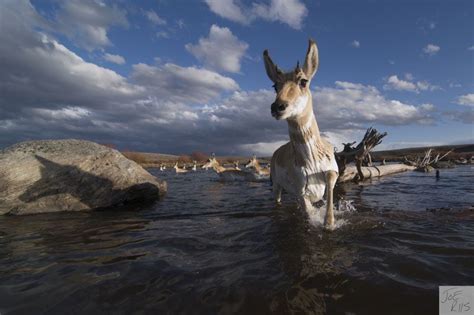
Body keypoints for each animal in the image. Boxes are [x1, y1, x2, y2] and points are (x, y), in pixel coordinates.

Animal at [264, 40, 338, 230]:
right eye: (275, 85)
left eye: (303, 81)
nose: (278, 106)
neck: (312, 161)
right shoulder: (300, 192)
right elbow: (308, 210)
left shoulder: (333, 170)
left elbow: (330, 177)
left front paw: (329, 222)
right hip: (277, 187)